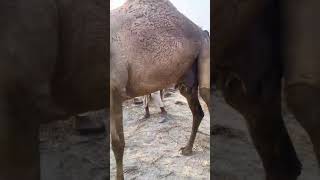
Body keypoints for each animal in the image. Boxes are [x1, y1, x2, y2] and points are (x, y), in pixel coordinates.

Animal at [110, 0, 210, 179]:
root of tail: (203, 32)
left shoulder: (115, 89)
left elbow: (117, 143)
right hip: (187, 78)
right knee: (198, 111)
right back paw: (187, 149)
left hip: (205, 53)